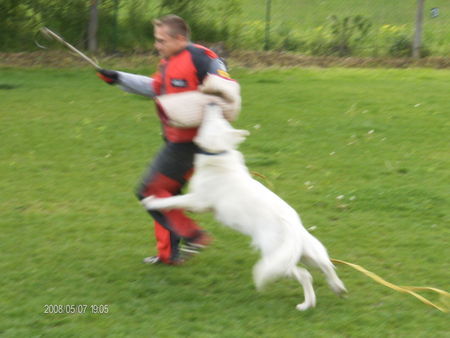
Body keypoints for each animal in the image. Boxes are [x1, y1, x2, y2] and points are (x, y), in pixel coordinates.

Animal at [142, 104, 346, 310]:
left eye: (216, 119)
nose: (213, 104)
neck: (219, 152)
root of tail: (292, 226)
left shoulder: (199, 200)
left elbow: (173, 201)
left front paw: (152, 201)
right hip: (308, 254)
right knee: (327, 266)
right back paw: (338, 288)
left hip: (278, 260)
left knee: (305, 275)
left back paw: (306, 304)